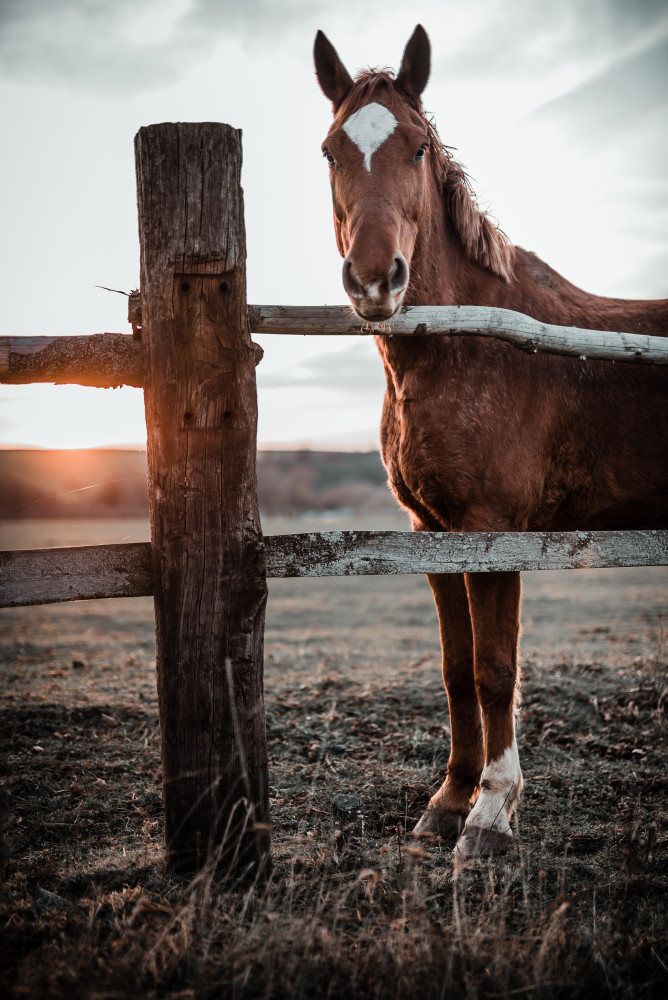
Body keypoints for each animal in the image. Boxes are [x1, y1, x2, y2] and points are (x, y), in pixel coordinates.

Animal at [314, 25, 668, 858]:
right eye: (330, 151)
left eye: (415, 147)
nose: (374, 279)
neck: (467, 343)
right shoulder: (431, 531)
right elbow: (455, 667)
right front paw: (447, 801)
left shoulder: (493, 529)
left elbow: (497, 667)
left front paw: (490, 814)